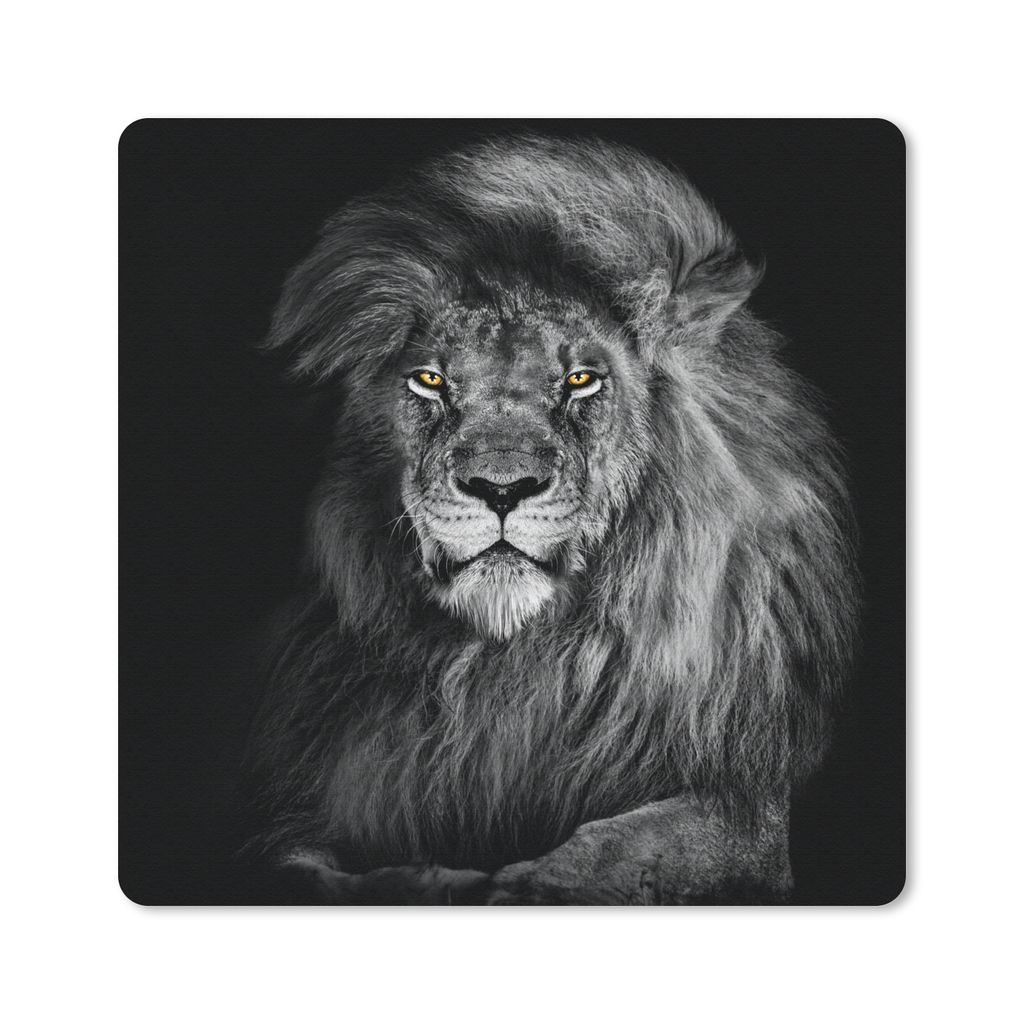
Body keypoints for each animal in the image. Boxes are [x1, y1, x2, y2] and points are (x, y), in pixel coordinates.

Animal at [243, 135, 859, 904]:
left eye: (580, 379)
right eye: (431, 380)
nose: (501, 488)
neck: (508, 660)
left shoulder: (746, 807)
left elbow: (619, 849)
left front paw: (521, 885)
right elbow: (309, 871)